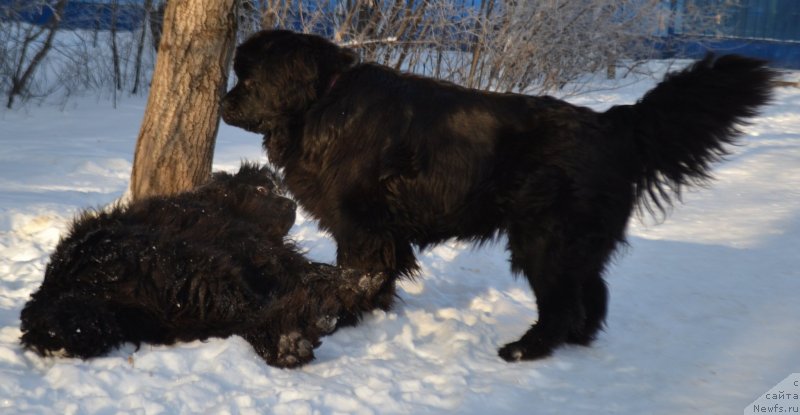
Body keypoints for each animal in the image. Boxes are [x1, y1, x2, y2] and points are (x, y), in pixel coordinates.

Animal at [21, 164, 384, 368]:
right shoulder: (252, 246)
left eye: (279, 189)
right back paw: (293, 337)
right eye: (262, 189)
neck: (222, 205)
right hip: (190, 265)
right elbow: (305, 269)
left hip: (167, 309)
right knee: (249, 312)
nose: (289, 203)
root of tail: (61, 286)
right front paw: (355, 281)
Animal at [220, 30, 776, 360]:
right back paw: (575, 341)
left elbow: (356, 273)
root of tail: (612, 123)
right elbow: (378, 275)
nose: (223, 103)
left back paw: (526, 349)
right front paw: (370, 312)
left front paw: (343, 319)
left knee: (563, 300)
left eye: (247, 75)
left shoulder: (362, 224)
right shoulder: (383, 231)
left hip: (544, 238)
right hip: (573, 242)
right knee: (592, 293)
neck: (323, 102)